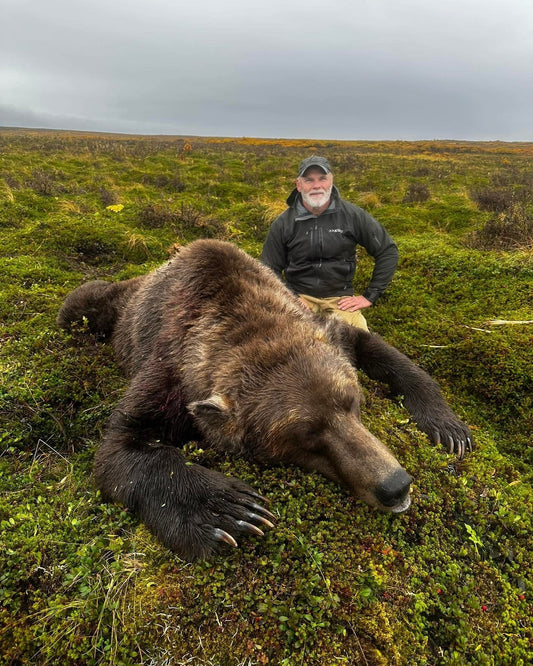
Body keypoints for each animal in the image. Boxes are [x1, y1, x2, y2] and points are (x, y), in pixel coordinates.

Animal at [57, 239, 472, 559]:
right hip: (109, 307)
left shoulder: (323, 329)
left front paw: (448, 427)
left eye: (353, 402)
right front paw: (227, 510)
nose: (396, 486)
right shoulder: (169, 370)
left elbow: (382, 352)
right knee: (81, 301)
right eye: (308, 434)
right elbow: (121, 445)